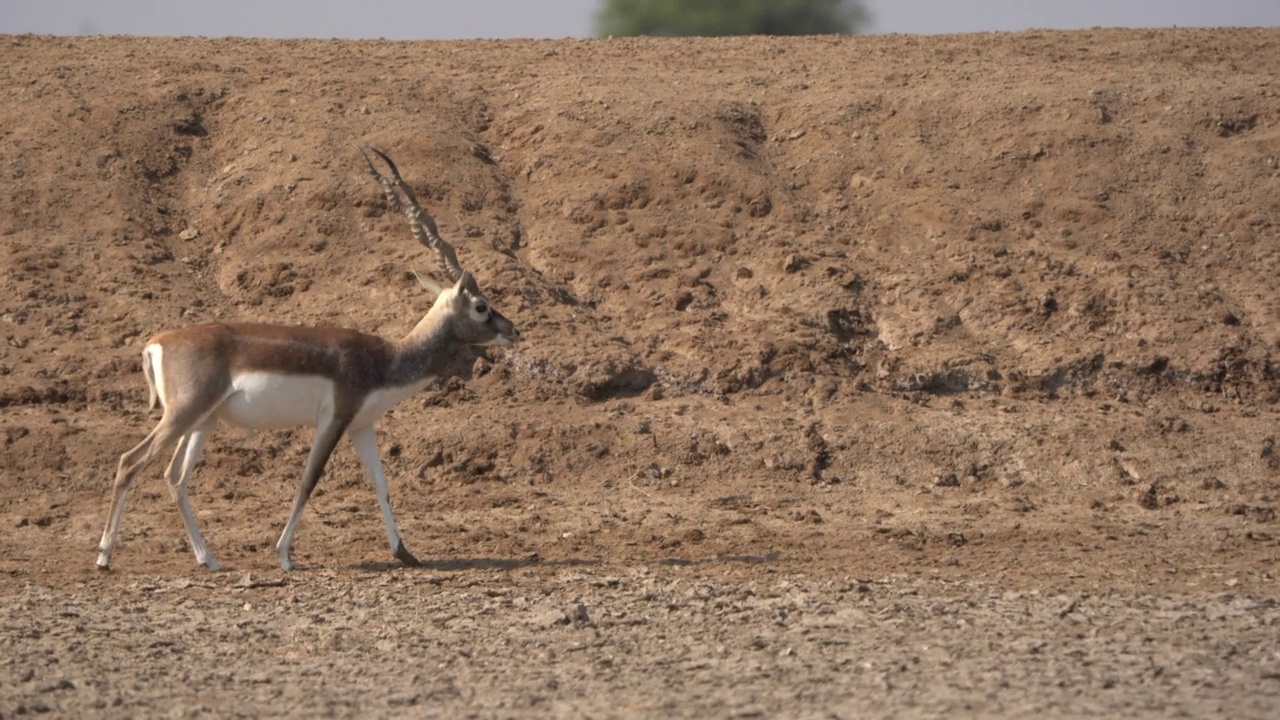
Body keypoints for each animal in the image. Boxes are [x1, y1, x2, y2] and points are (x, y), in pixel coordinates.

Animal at [97, 147, 519, 571]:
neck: (384, 360)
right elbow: (308, 481)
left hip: (203, 421)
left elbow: (381, 484)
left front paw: (405, 552)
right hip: (183, 414)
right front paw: (284, 555)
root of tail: (157, 342)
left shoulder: (361, 426)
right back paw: (104, 557)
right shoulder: (332, 420)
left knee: (175, 477)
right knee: (130, 462)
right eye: (481, 306)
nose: (512, 330)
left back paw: (208, 559)